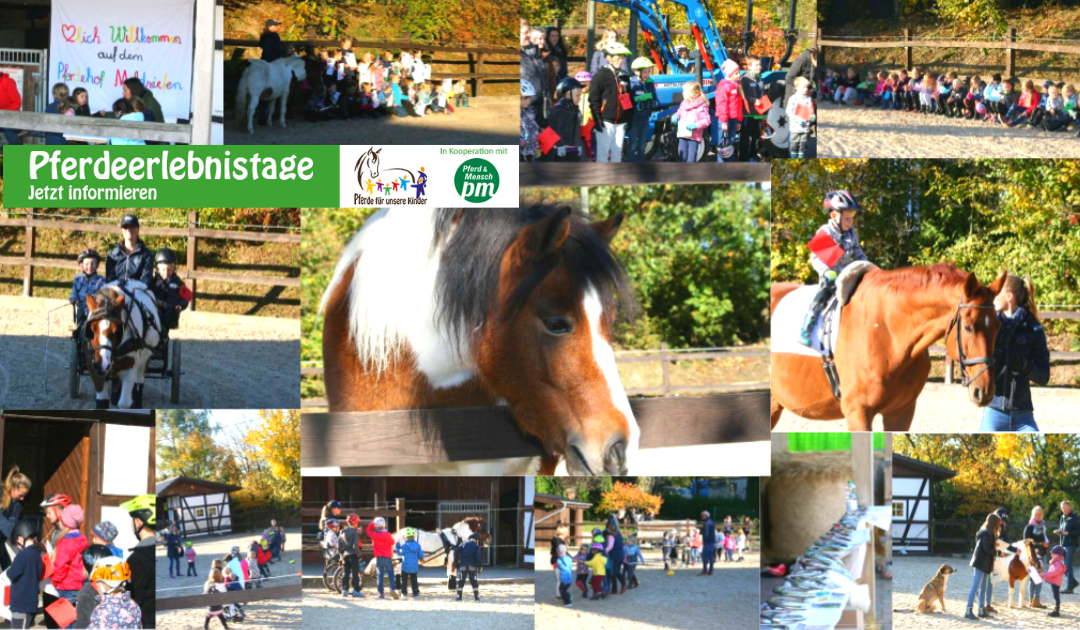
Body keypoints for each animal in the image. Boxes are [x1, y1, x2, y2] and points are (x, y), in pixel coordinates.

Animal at [83, 280, 159, 408]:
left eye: (117, 331)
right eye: (91, 330)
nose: (102, 364)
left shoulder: (130, 367)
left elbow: (124, 403)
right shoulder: (95, 371)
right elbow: (102, 402)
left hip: (145, 358)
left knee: (139, 381)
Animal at [773, 263, 1006, 432]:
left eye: (998, 326)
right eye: (968, 327)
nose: (985, 391)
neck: (887, 332)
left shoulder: (900, 413)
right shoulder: (857, 412)